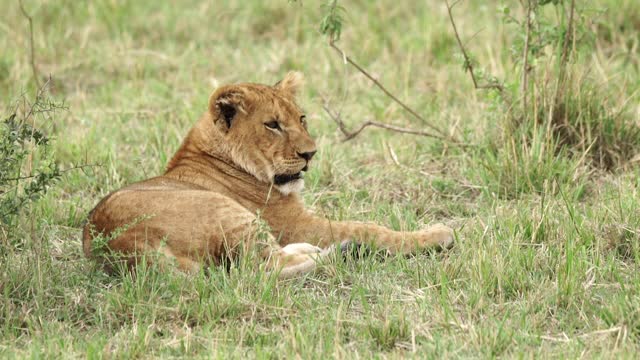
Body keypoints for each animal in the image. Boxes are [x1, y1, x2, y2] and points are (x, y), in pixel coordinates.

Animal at [84, 71, 456, 278]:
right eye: (273, 125)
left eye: (301, 118)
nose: (310, 154)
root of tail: (125, 246)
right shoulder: (295, 223)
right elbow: (368, 227)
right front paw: (437, 235)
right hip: (230, 214)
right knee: (262, 268)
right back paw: (346, 252)